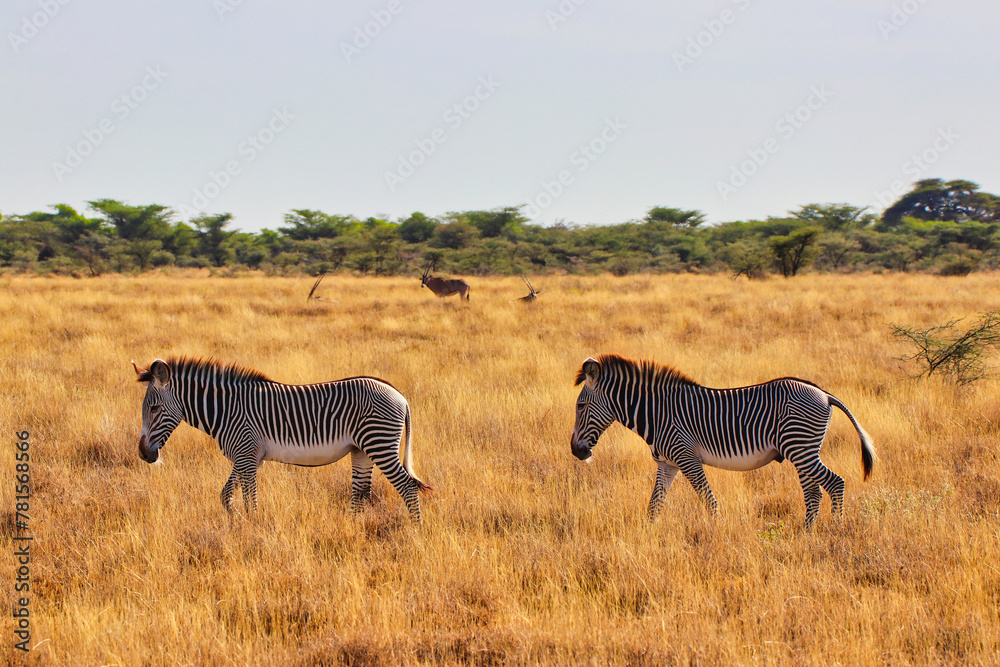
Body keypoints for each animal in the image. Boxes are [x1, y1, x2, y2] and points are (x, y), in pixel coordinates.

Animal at [132, 357, 431, 521]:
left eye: (154, 408)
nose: (143, 454)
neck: (226, 410)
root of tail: (400, 396)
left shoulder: (247, 454)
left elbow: (249, 499)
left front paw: (252, 530)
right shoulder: (247, 457)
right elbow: (226, 495)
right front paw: (237, 522)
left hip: (379, 444)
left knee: (407, 486)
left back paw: (414, 530)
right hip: (362, 450)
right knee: (361, 492)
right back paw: (352, 529)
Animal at [570, 354, 874, 528]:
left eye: (581, 406)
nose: (576, 451)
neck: (656, 413)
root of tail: (824, 394)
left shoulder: (686, 457)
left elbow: (709, 501)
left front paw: (716, 535)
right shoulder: (667, 463)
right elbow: (654, 505)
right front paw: (647, 535)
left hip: (800, 447)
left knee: (835, 483)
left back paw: (834, 530)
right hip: (803, 451)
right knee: (813, 493)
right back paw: (806, 533)